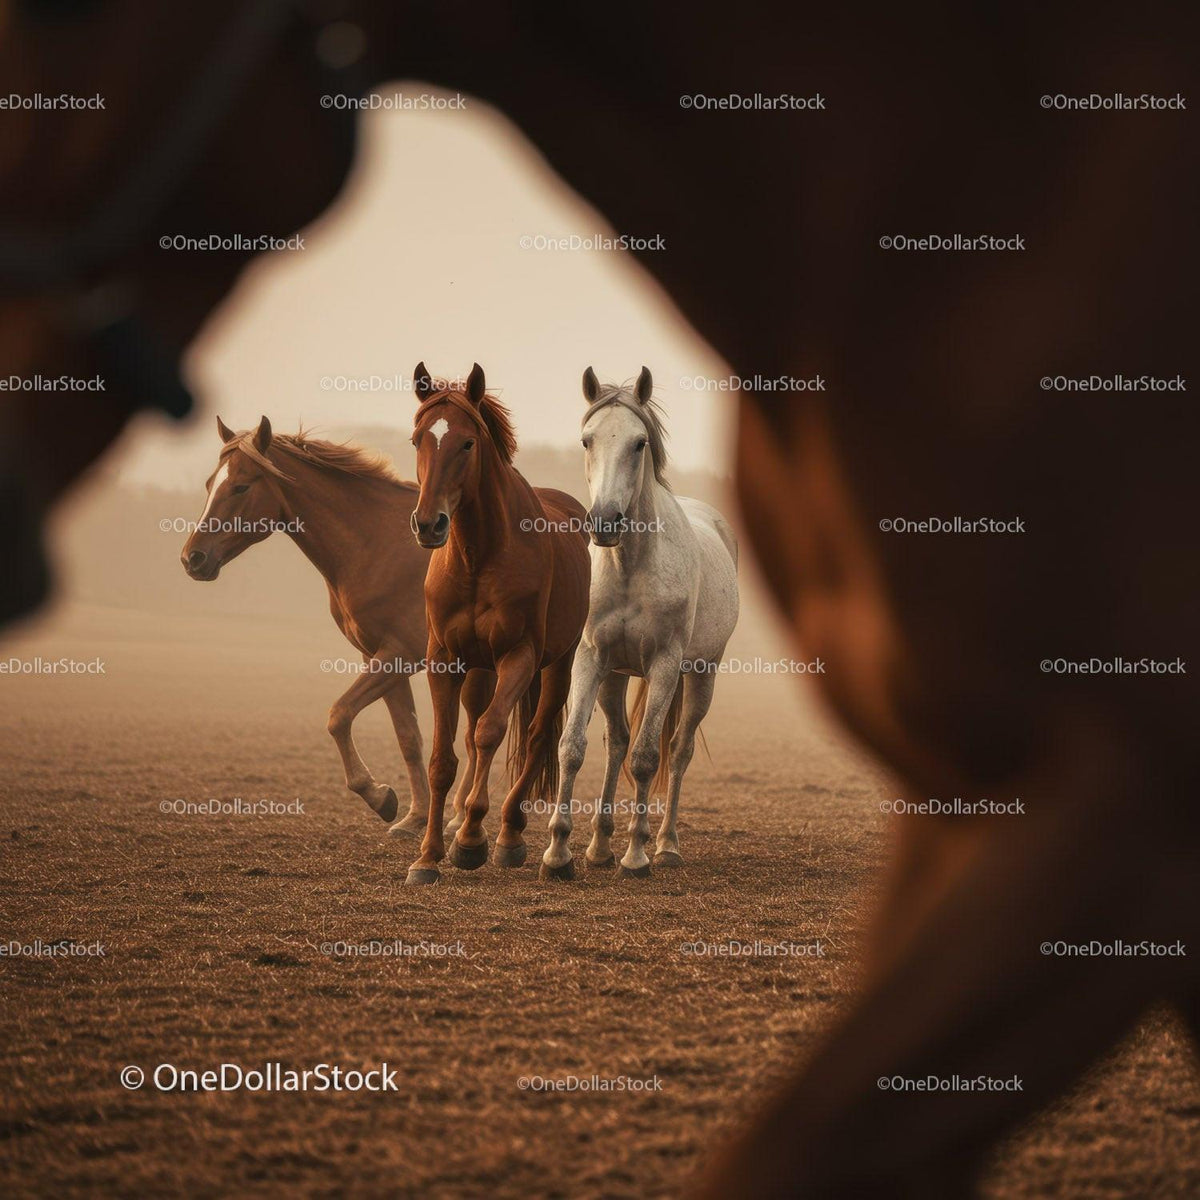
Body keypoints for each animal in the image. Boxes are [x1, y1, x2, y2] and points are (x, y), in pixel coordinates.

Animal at [180, 414, 490, 838]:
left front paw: (379, 796)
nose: (192, 557)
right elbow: (408, 737)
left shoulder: (400, 655)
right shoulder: (380, 657)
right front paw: (414, 818)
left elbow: (339, 715)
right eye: (211, 484)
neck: (378, 545)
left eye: (241, 485)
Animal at [405, 363, 590, 885]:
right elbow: (444, 758)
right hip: (479, 671)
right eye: (418, 439)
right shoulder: (445, 661)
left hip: (557, 666)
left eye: (468, 443)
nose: (429, 524)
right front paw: (428, 856)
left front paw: (470, 841)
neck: (478, 556)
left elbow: (493, 733)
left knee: (535, 735)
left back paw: (507, 833)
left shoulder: (519, 657)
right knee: (474, 732)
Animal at [541, 367, 738, 882]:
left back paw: (665, 844)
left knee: (680, 749)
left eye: (639, 443)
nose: (605, 521)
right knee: (616, 743)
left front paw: (636, 856)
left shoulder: (666, 664)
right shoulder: (591, 658)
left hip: (702, 674)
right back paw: (598, 846)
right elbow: (573, 747)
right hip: (614, 675)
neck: (631, 565)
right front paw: (558, 853)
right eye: (587, 439)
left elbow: (649, 757)